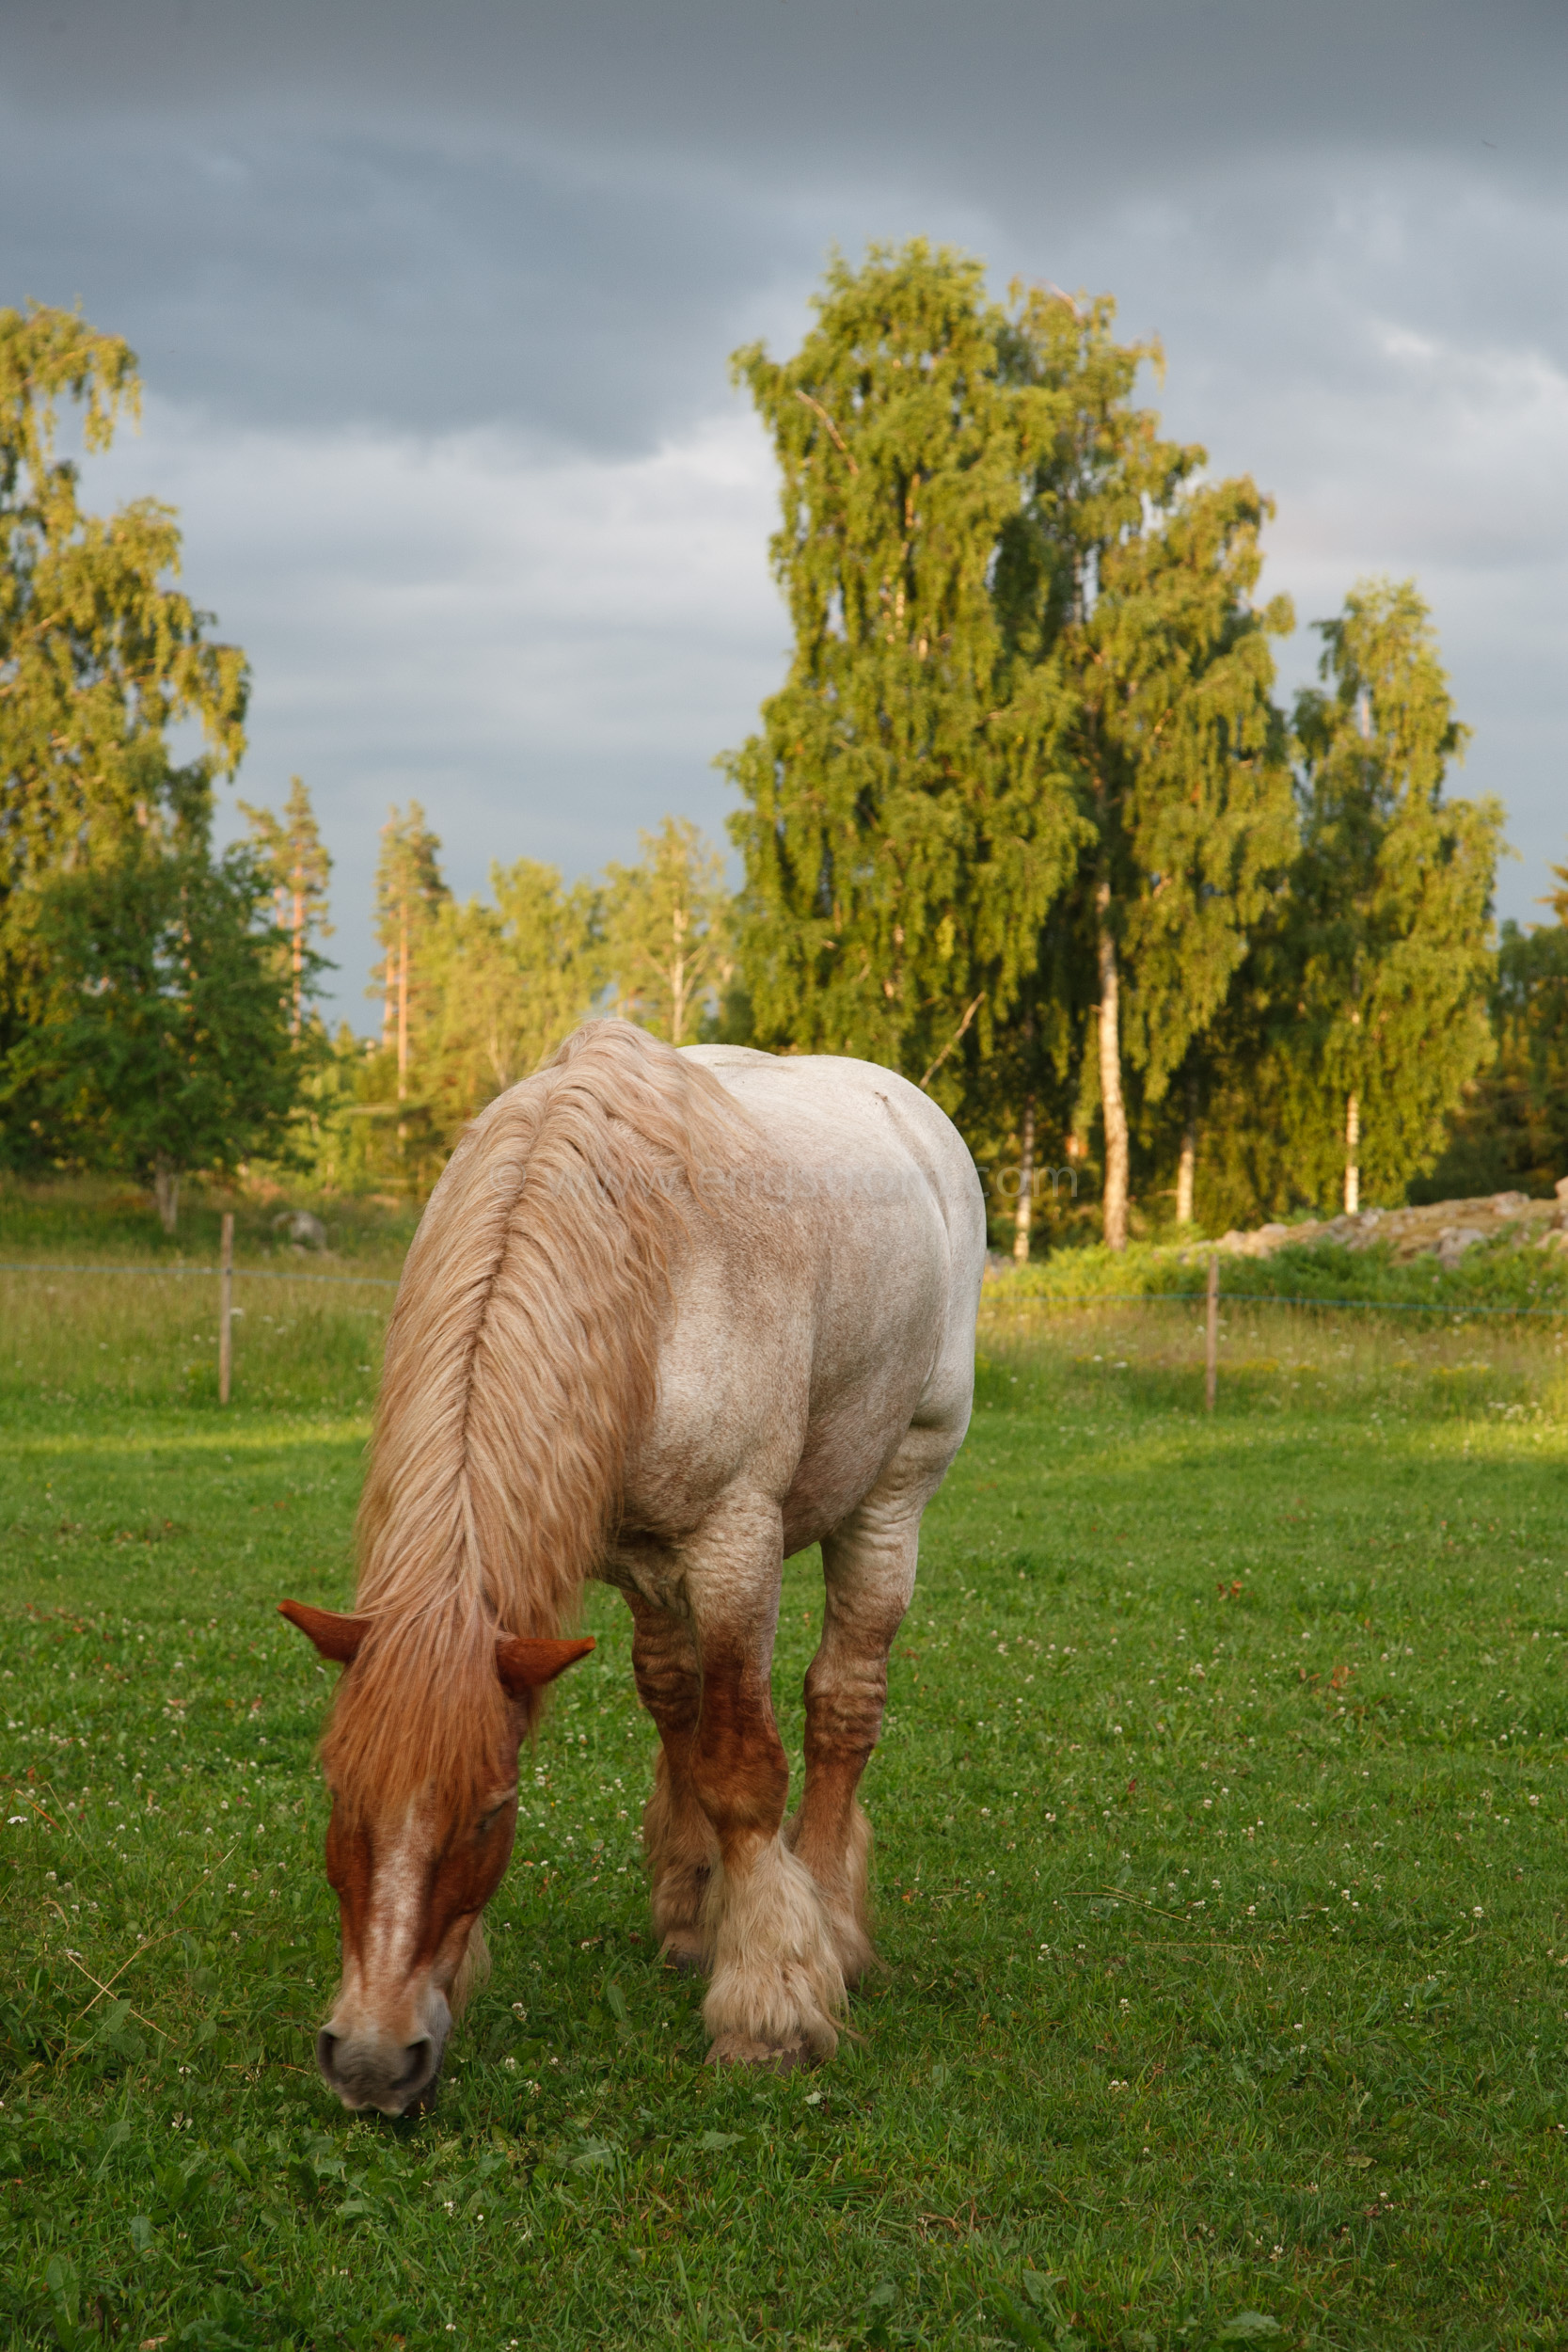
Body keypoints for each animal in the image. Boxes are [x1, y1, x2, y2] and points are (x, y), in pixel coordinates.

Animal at [281, 1016, 982, 2117]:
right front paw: (698, 1916)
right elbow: (679, 1720)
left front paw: (768, 2006)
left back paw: (831, 1922)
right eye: (339, 1792)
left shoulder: (736, 1543)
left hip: (892, 1491)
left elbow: (742, 1767)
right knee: (680, 1697)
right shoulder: (631, 1554)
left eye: (492, 1812)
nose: (369, 2058)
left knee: (842, 1707)